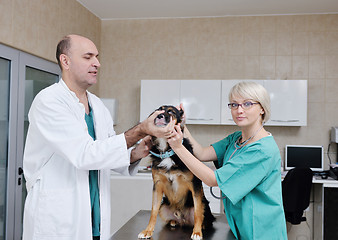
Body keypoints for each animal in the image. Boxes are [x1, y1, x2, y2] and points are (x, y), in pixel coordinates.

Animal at [137, 105, 214, 240]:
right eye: (158, 110)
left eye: (171, 111)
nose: (160, 116)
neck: (167, 151)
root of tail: (183, 218)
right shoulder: (157, 185)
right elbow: (153, 211)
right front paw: (147, 231)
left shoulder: (195, 185)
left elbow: (197, 212)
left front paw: (197, 232)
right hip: (164, 206)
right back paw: (173, 221)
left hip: (205, 203)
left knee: (202, 214)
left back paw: (203, 225)